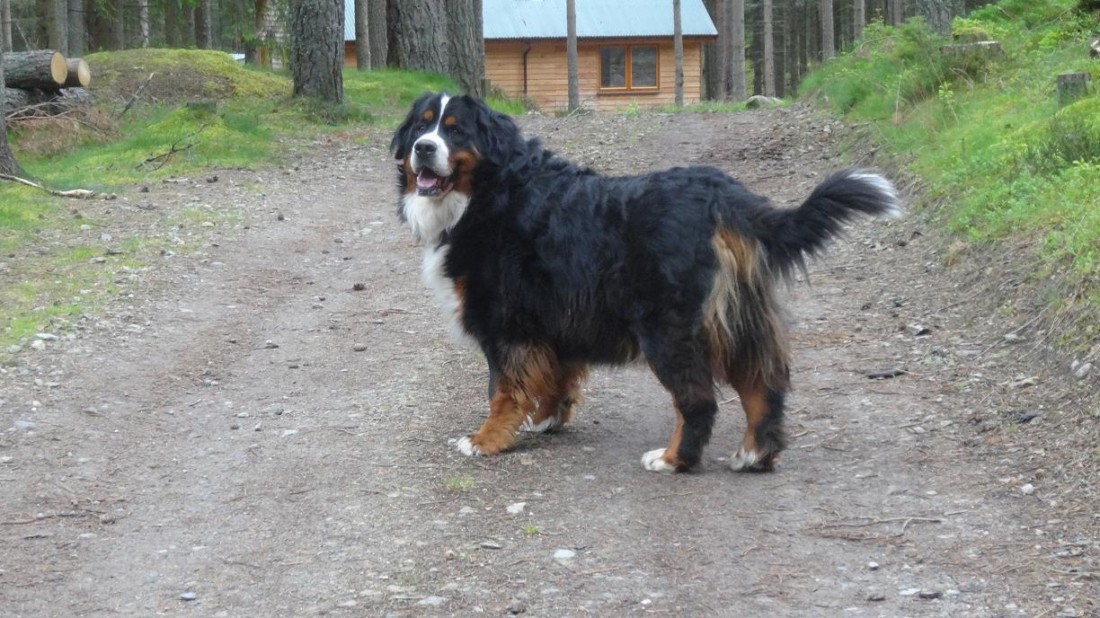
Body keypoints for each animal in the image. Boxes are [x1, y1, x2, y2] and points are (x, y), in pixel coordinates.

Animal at [391, 92, 897, 470]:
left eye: (456, 129)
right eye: (421, 127)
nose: (423, 148)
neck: (490, 193)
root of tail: (724, 197)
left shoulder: (505, 322)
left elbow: (502, 390)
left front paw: (487, 439)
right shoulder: (555, 319)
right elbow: (556, 375)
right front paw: (547, 419)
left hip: (669, 328)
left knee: (698, 400)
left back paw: (674, 459)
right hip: (739, 319)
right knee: (763, 386)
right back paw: (754, 454)